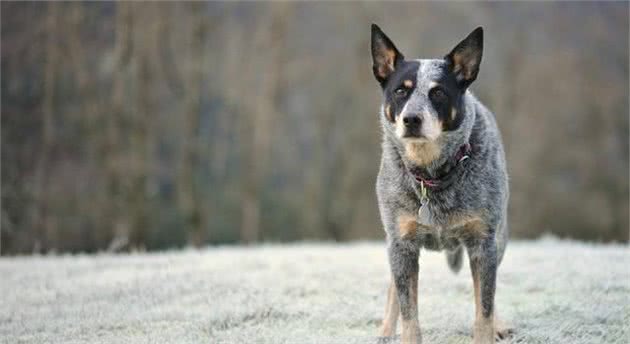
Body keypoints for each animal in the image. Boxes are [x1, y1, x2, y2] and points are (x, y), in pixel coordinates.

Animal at [370, 24, 512, 344]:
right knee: (393, 288)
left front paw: (489, 329)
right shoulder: (401, 243)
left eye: (438, 93)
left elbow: (484, 307)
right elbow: (408, 311)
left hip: (500, 238)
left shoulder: (483, 242)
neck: (432, 175)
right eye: (400, 90)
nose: (412, 119)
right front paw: (399, 331)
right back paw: (385, 330)